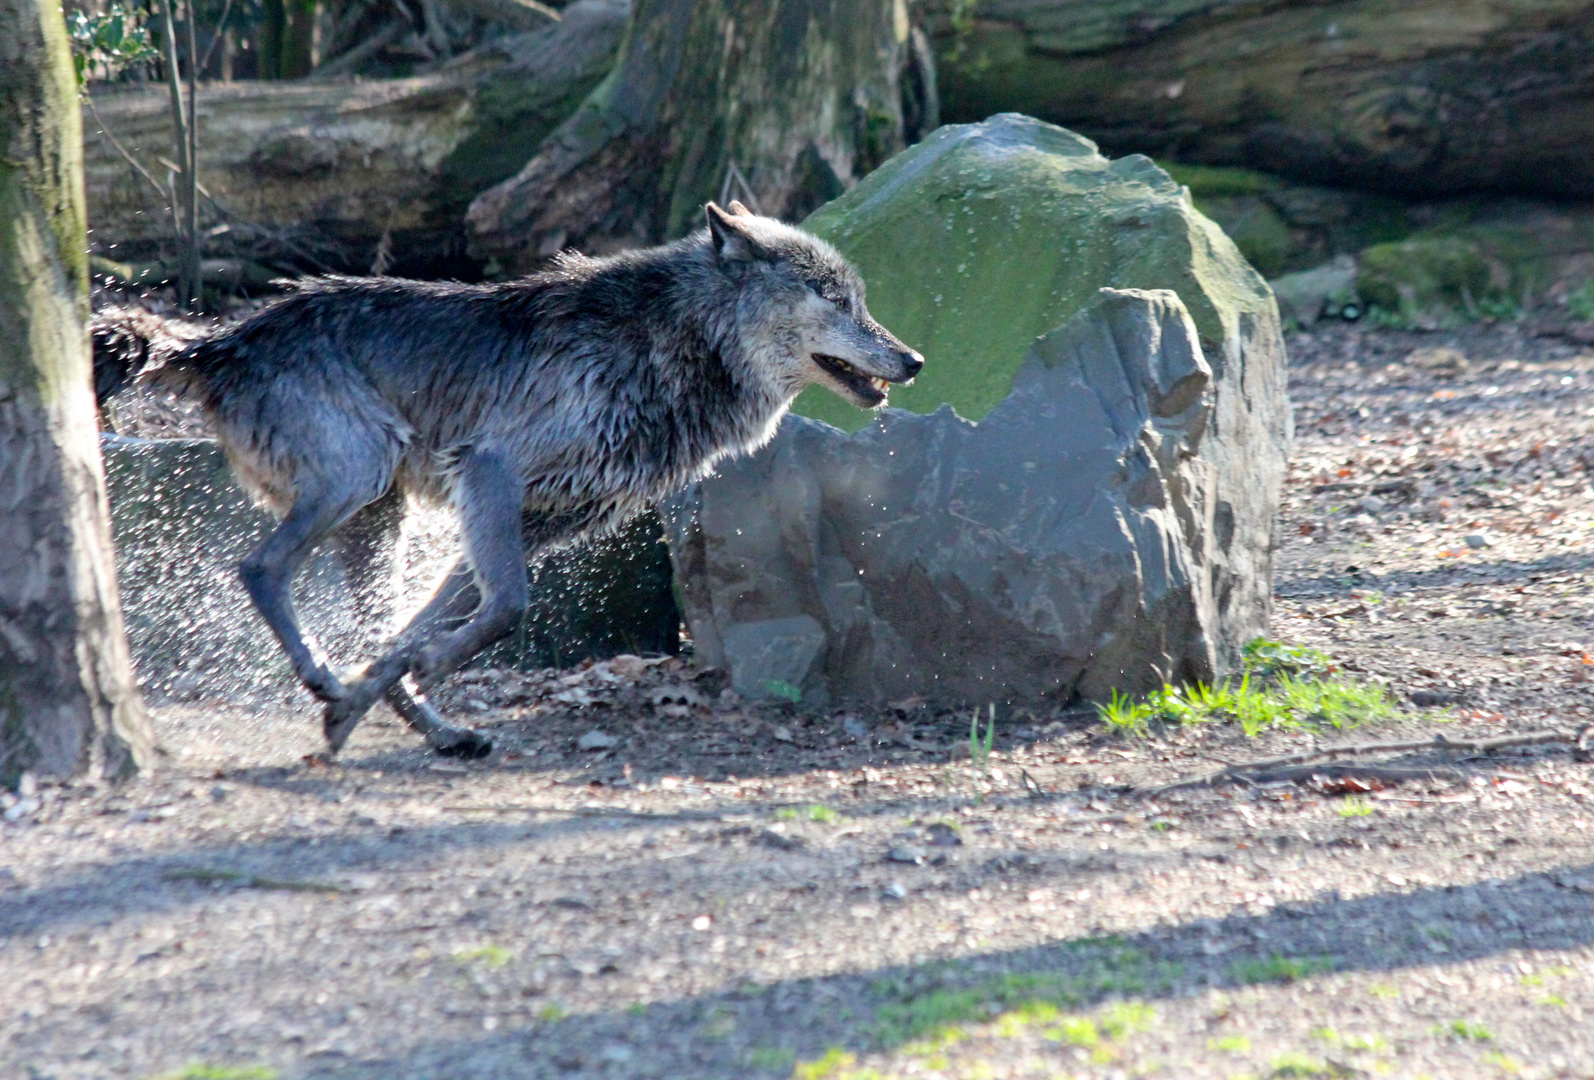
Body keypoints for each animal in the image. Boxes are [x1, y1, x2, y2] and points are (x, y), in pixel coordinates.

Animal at [99, 205, 924, 761]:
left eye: (860, 299)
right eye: (832, 297)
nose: (913, 359)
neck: (669, 346)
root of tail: (221, 338)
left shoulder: (527, 525)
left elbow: (412, 637)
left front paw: (369, 700)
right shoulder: (491, 472)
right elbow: (506, 610)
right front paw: (400, 679)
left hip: (380, 523)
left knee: (364, 616)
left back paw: (421, 726)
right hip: (357, 479)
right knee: (260, 567)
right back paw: (326, 678)